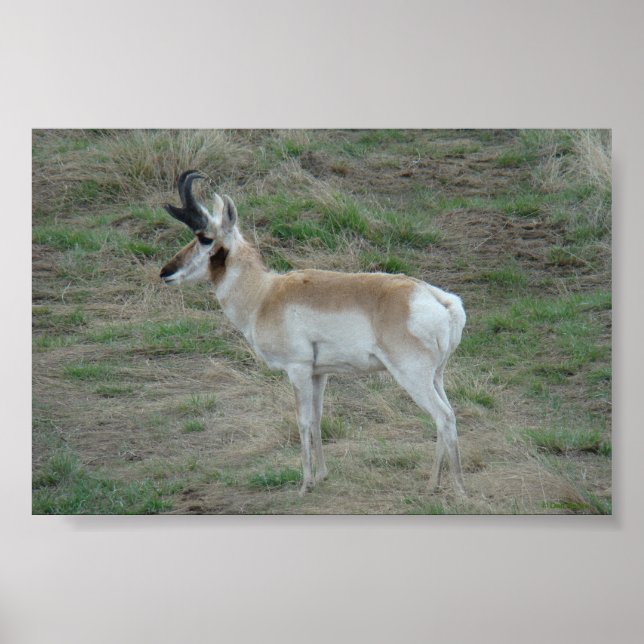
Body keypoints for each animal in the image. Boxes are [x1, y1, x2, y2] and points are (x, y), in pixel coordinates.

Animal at [160, 170, 467, 496]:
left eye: (204, 238)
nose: (165, 272)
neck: (264, 294)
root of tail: (436, 298)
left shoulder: (298, 369)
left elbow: (303, 421)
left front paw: (304, 483)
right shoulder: (320, 374)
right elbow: (318, 419)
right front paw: (321, 475)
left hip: (412, 376)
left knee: (444, 417)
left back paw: (459, 489)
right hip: (436, 376)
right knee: (446, 415)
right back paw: (433, 483)